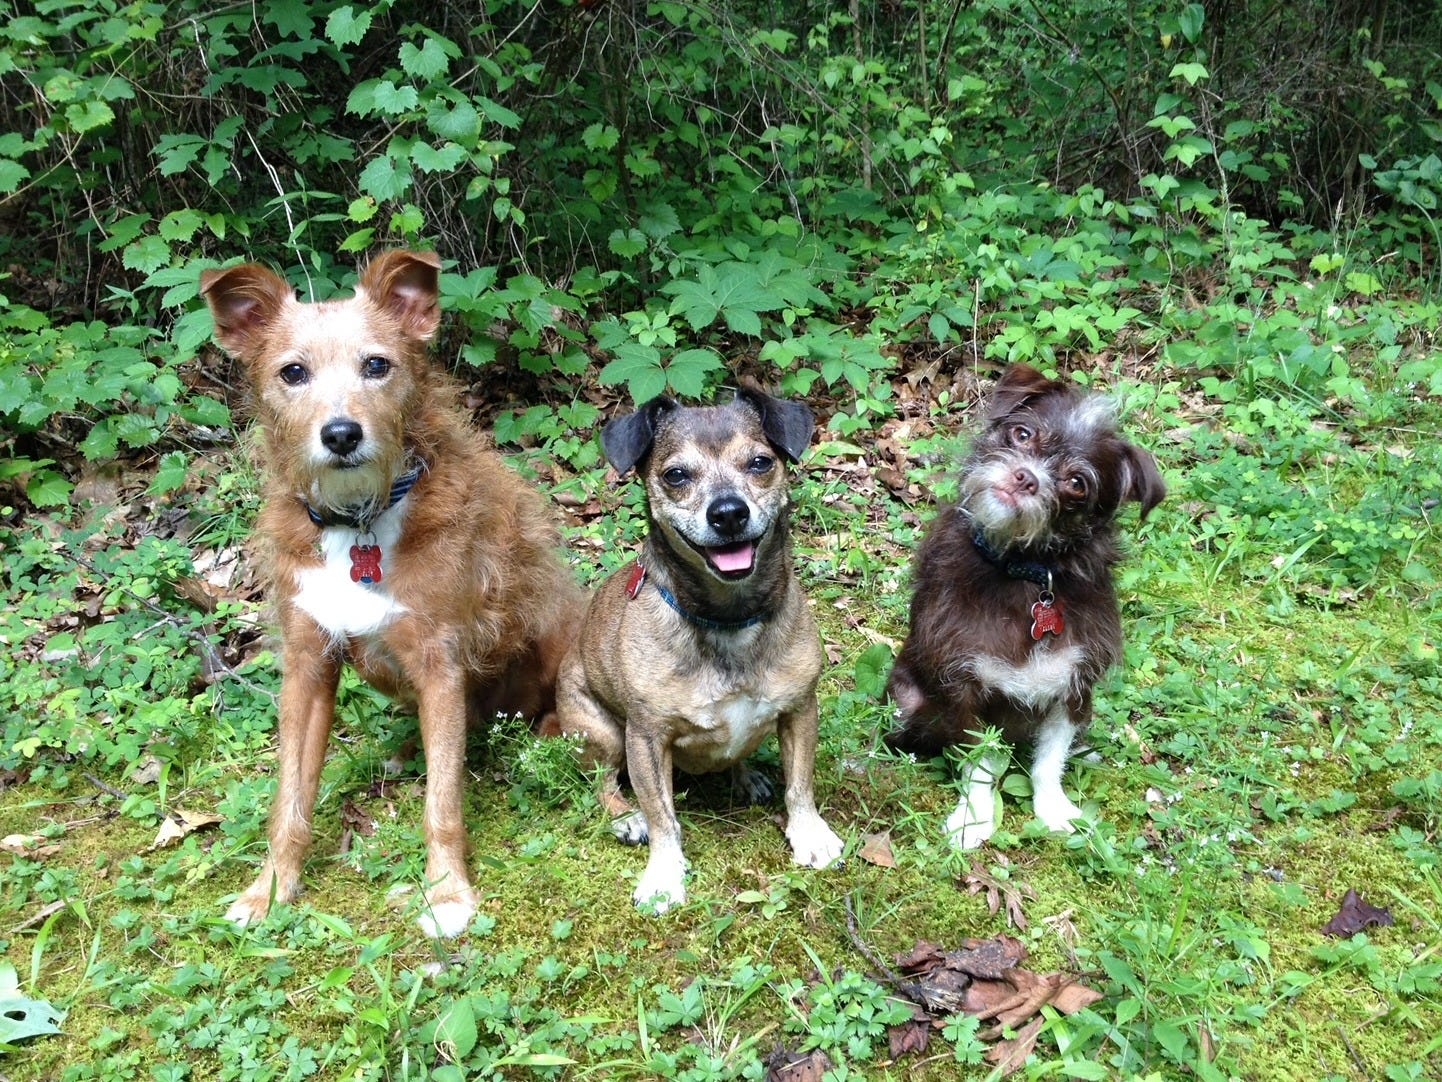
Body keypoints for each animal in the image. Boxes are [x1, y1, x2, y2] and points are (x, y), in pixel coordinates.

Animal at [199, 249, 581, 937]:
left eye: (377, 365)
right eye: (292, 372)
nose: (342, 434)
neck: (358, 524)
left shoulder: (439, 662)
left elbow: (443, 806)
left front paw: (448, 892)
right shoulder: (308, 664)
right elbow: (289, 799)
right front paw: (270, 889)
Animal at [555, 388, 845, 911]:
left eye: (760, 462)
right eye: (676, 475)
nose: (728, 512)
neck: (728, 618)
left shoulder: (799, 711)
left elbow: (800, 786)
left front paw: (809, 835)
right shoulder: (646, 740)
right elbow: (663, 818)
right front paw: (664, 876)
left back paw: (746, 777)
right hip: (602, 733)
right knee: (603, 783)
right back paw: (624, 816)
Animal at [885, 364, 1165, 849]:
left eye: (1077, 483)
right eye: (1021, 433)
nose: (1025, 477)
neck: (1026, 574)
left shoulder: (1075, 687)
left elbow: (1049, 761)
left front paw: (1053, 810)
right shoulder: (962, 687)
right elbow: (979, 763)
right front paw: (973, 819)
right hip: (905, 699)